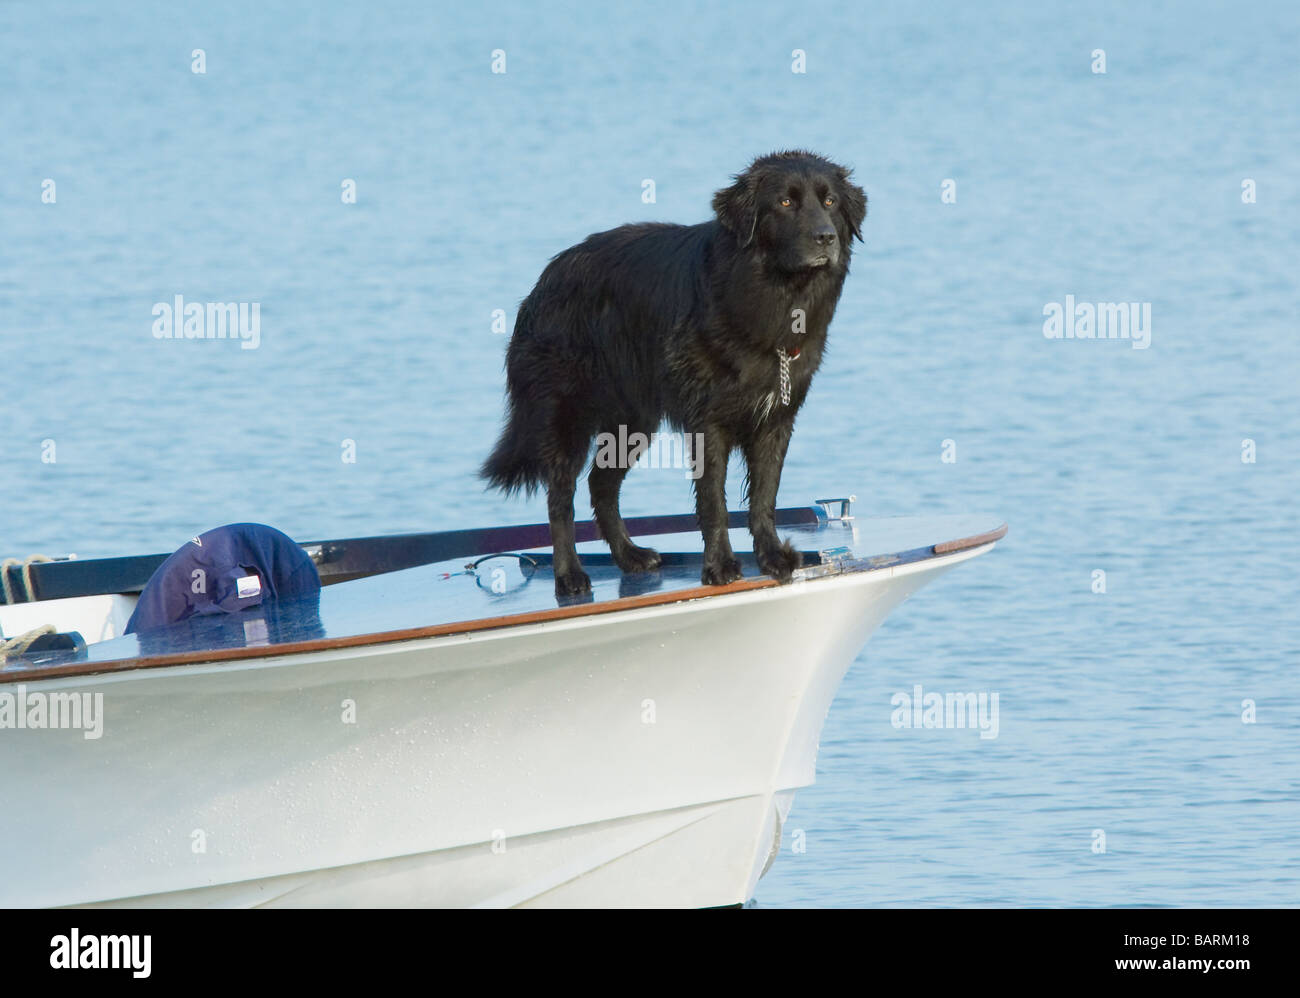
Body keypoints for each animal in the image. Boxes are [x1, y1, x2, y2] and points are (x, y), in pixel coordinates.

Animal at [483, 150, 868, 592]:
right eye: (785, 202)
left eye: (830, 202)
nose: (826, 237)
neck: (772, 295)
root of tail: (544, 280)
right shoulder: (709, 422)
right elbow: (714, 500)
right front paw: (719, 566)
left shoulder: (776, 420)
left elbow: (764, 496)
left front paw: (772, 557)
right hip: (568, 418)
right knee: (560, 499)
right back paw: (570, 575)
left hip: (633, 422)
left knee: (600, 485)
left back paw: (629, 556)